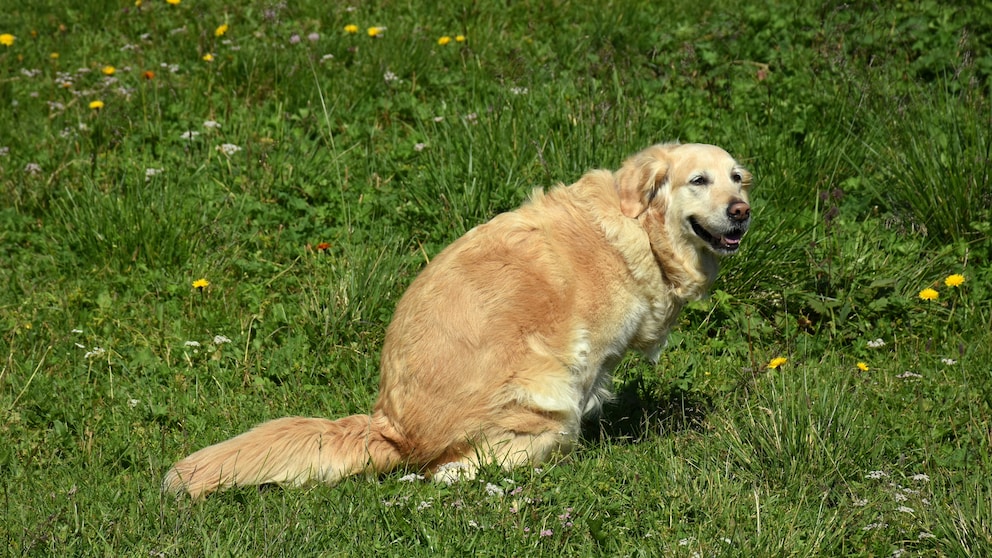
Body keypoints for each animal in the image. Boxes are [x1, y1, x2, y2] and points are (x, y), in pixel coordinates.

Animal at [165, 142, 752, 500]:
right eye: (698, 181)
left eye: (737, 180)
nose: (741, 211)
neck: (639, 230)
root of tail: (391, 427)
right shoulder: (584, 363)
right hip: (546, 398)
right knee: (456, 468)